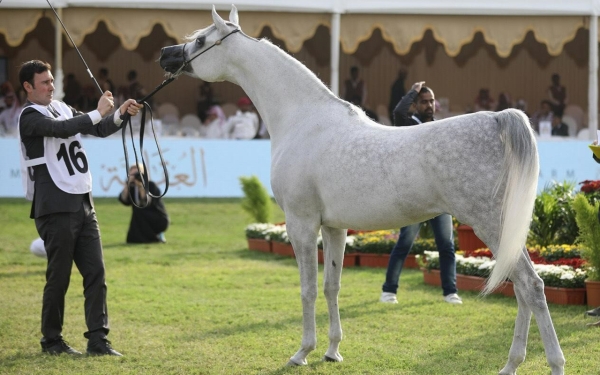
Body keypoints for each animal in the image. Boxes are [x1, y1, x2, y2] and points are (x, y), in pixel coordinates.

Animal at [158, 6, 564, 375]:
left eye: (200, 40)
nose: (165, 54)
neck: (304, 121)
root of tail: (497, 119)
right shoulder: (334, 228)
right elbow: (331, 286)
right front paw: (332, 351)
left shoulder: (301, 224)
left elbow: (307, 288)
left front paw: (302, 352)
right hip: (505, 229)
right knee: (522, 288)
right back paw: (511, 365)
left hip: (490, 223)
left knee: (531, 285)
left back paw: (552, 364)